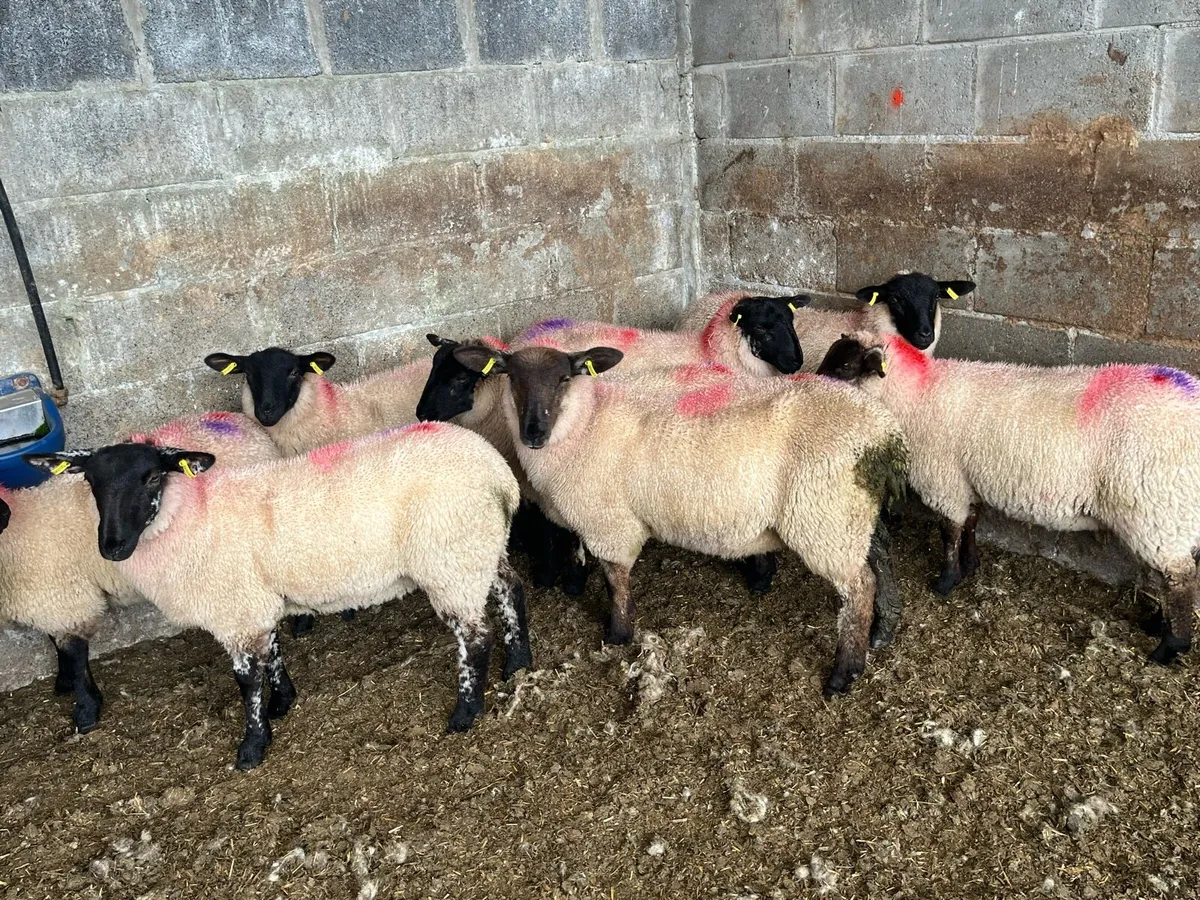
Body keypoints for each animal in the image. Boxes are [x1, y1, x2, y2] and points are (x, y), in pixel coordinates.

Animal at [0, 412, 280, 733]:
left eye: (154, 478)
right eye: (89, 480)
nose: (112, 547)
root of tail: (236, 419)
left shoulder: (66, 600)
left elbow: (75, 655)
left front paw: (86, 709)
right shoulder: (57, 603)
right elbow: (56, 643)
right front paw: (65, 682)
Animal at [26, 422, 529, 769]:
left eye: (152, 478)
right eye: (91, 482)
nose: (111, 547)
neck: (192, 514)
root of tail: (497, 472)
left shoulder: (233, 606)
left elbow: (246, 679)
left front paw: (252, 745)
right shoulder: (255, 600)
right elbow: (271, 652)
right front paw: (282, 702)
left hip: (451, 559)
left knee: (474, 637)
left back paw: (466, 711)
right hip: (482, 547)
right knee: (512, 590)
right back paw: (519, 662)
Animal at [449, 342, 908, 697]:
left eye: (564, 377)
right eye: (511, 376)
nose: (533, 433)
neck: (585, 421)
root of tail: (883, 434)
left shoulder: (609, 522)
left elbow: (615, 581)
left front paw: (618, 634)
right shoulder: (584, 515)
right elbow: (577, 551)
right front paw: (575, 585)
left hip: (825, 518)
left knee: (859, 589)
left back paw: (844, 673)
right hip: (856, 514)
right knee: (881, 563)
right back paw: (882, 631)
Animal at [817, 333, 1200, 665]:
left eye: (845, 366)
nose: (811, 388)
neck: (918, 395)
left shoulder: (944, 482)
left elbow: (949, 532)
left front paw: (946, 581)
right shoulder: (964, 480)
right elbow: (971, 522)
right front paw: (970, 565)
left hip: (1158, 506)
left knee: (1180, 580)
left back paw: (1169, 647)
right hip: (1161, 515)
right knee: (1167, 574)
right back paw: (1157, 624)